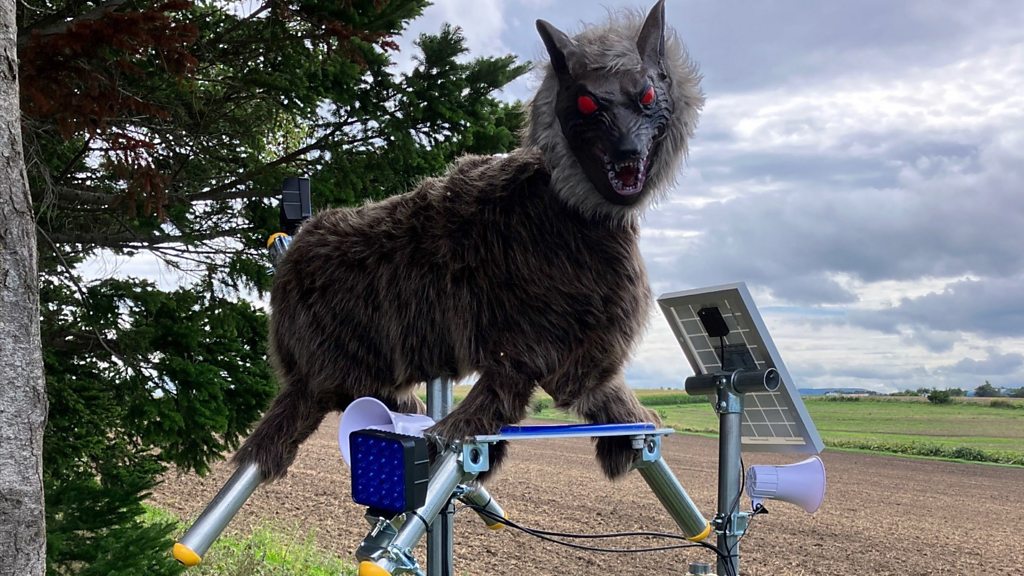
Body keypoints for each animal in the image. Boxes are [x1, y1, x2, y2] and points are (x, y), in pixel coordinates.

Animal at [233, 0, 704, 482]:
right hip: (329, 368)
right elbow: (518, 390)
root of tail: (292, 257)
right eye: (588, 102)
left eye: (647, 96)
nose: (628, 151)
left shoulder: (572, 349)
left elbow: (602, 394)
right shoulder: (534, 343)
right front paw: (458, 436)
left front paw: (628, 437)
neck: (570, 209)